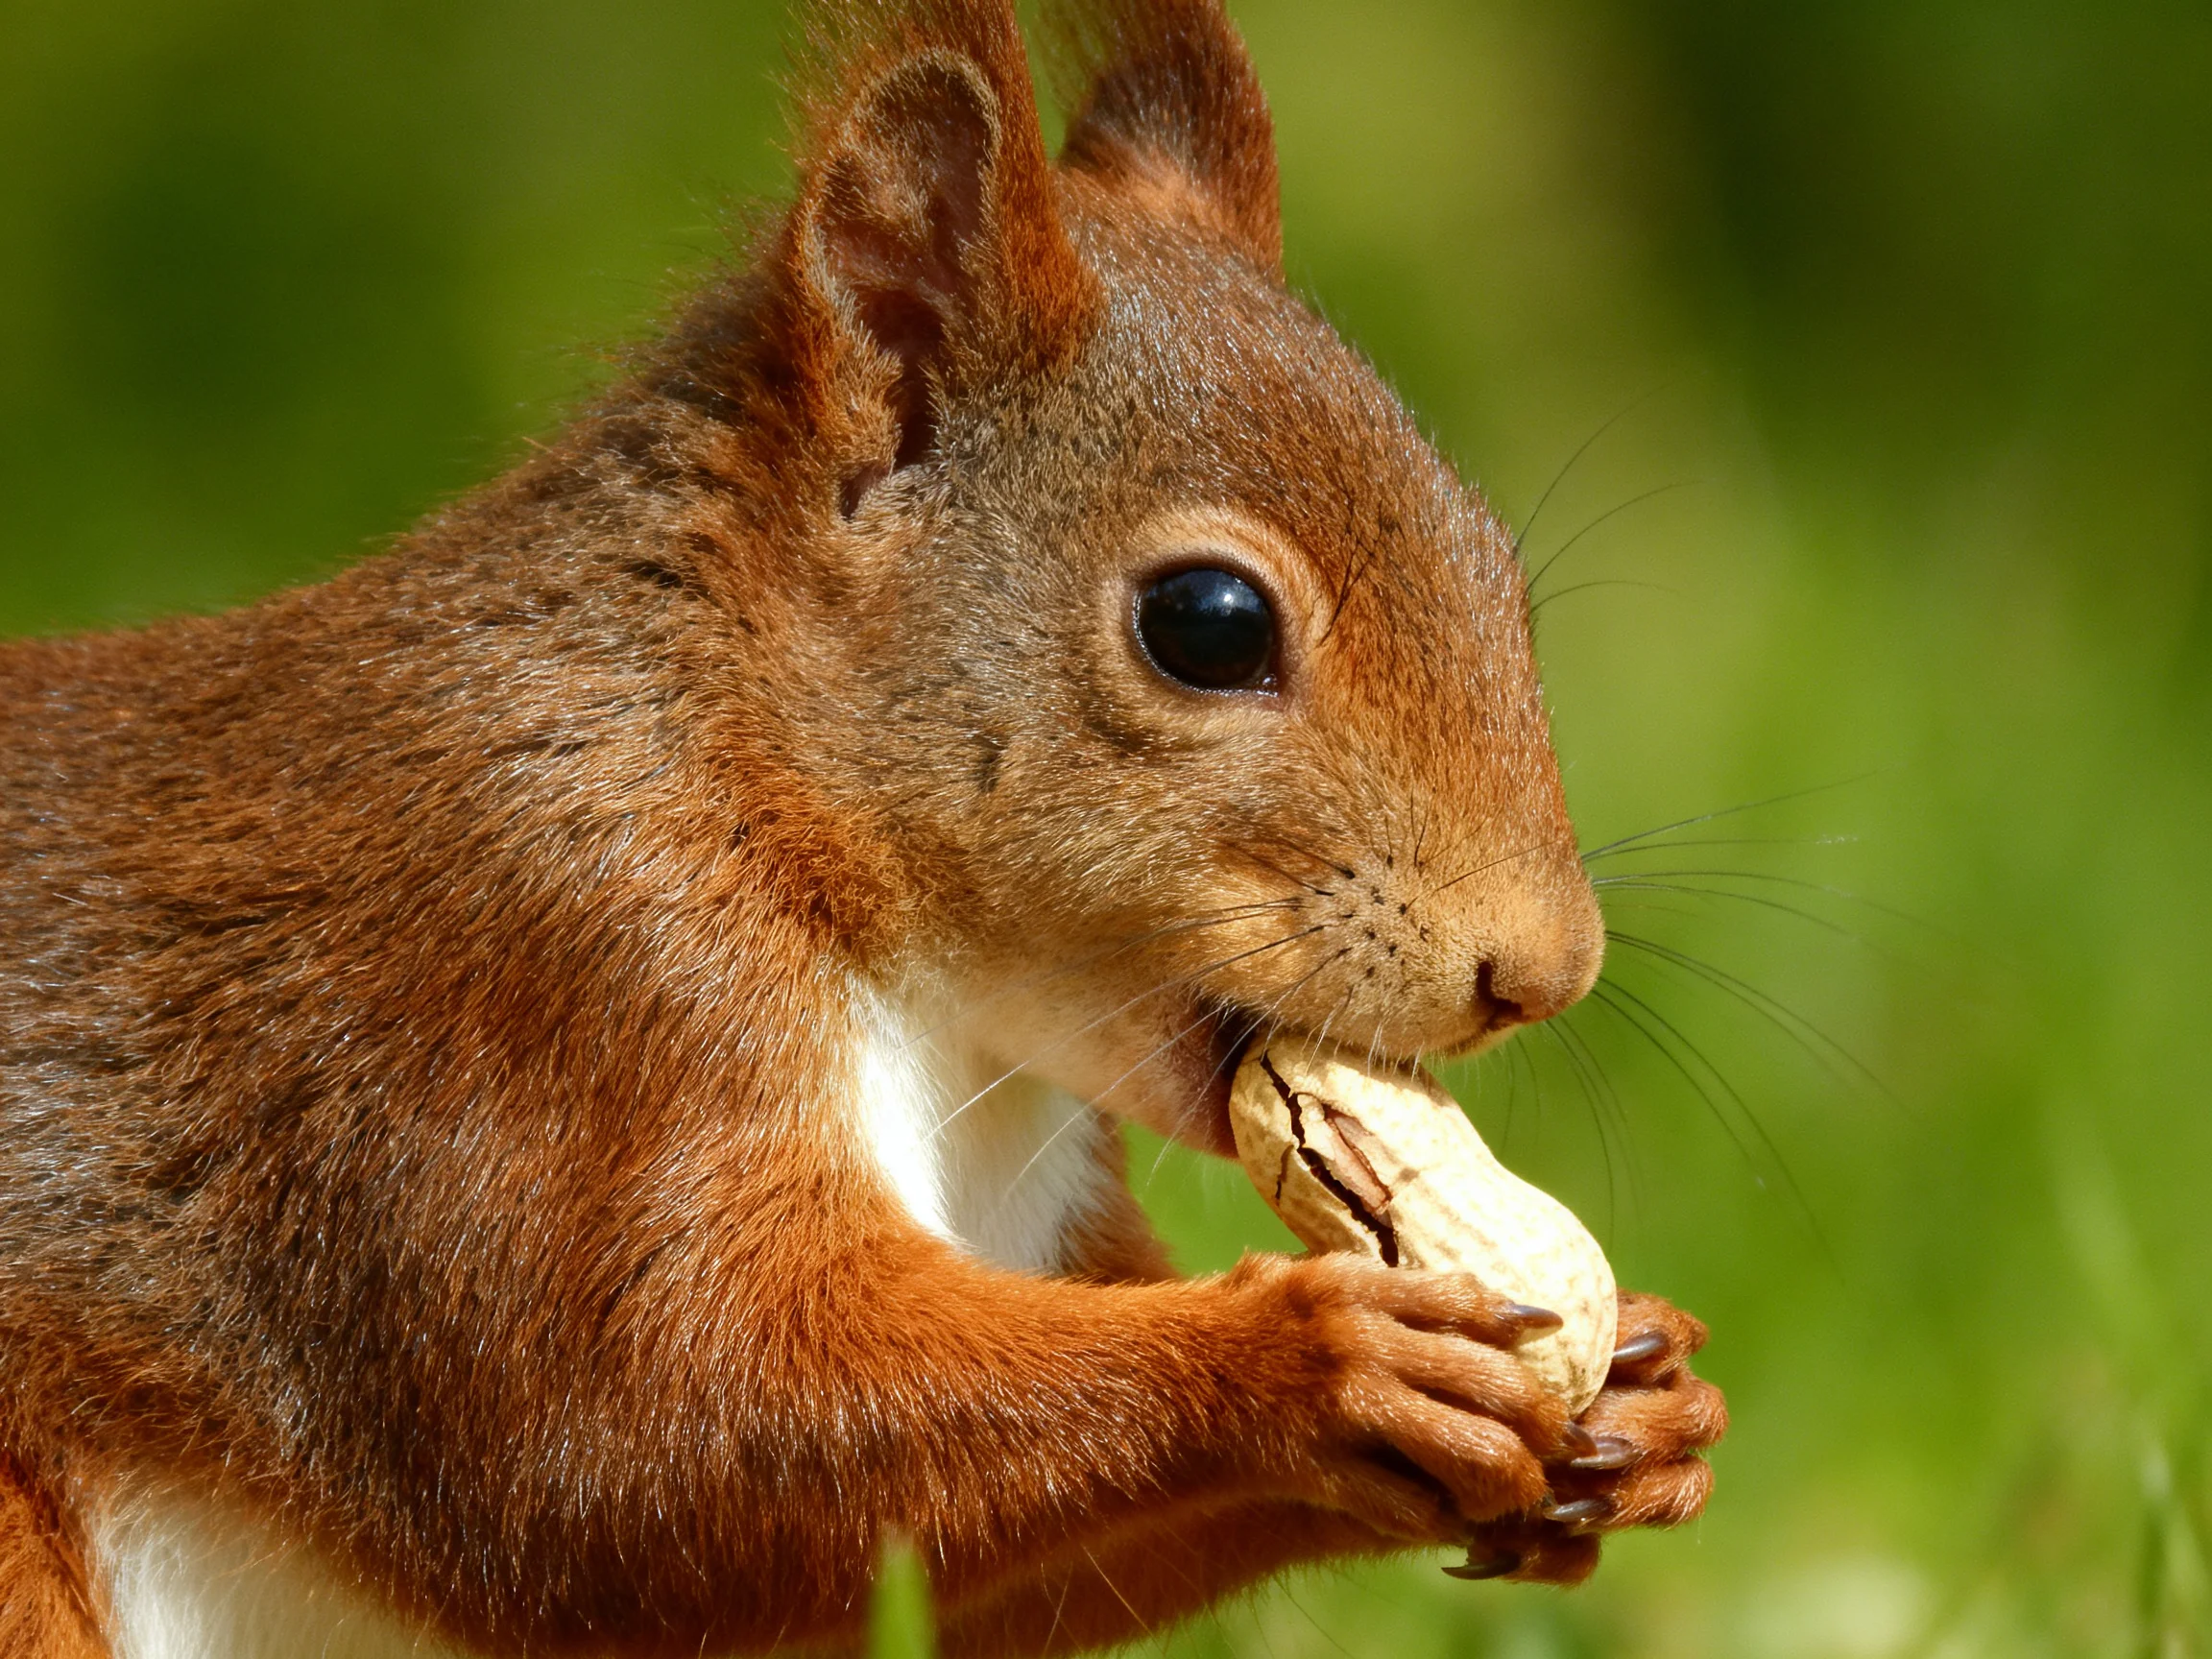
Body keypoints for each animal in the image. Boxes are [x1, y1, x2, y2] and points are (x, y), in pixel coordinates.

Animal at [0, 1, 1727, 1655]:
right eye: (1208, 622)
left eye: (1497, 570)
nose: (1543, 972)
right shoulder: (532, 1000)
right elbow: (629, 1435)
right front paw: (1307, 1356)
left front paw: (1643, 1389)